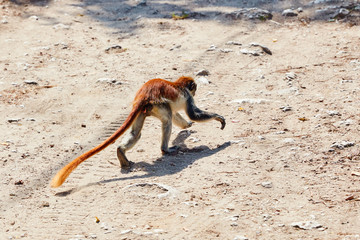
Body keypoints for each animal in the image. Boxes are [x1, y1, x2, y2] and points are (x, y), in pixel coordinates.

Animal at [50, 76, 225, 188]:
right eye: (193, 89)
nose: (196, 91)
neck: (178, 84)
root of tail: (144, 94)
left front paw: (186, 127)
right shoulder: (187, 96)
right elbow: (192, 114)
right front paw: (218, 118)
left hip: (144, 110)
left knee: (136, 133)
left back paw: (121, 153)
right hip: (158, 103)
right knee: (167, 121)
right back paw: (165, 149)